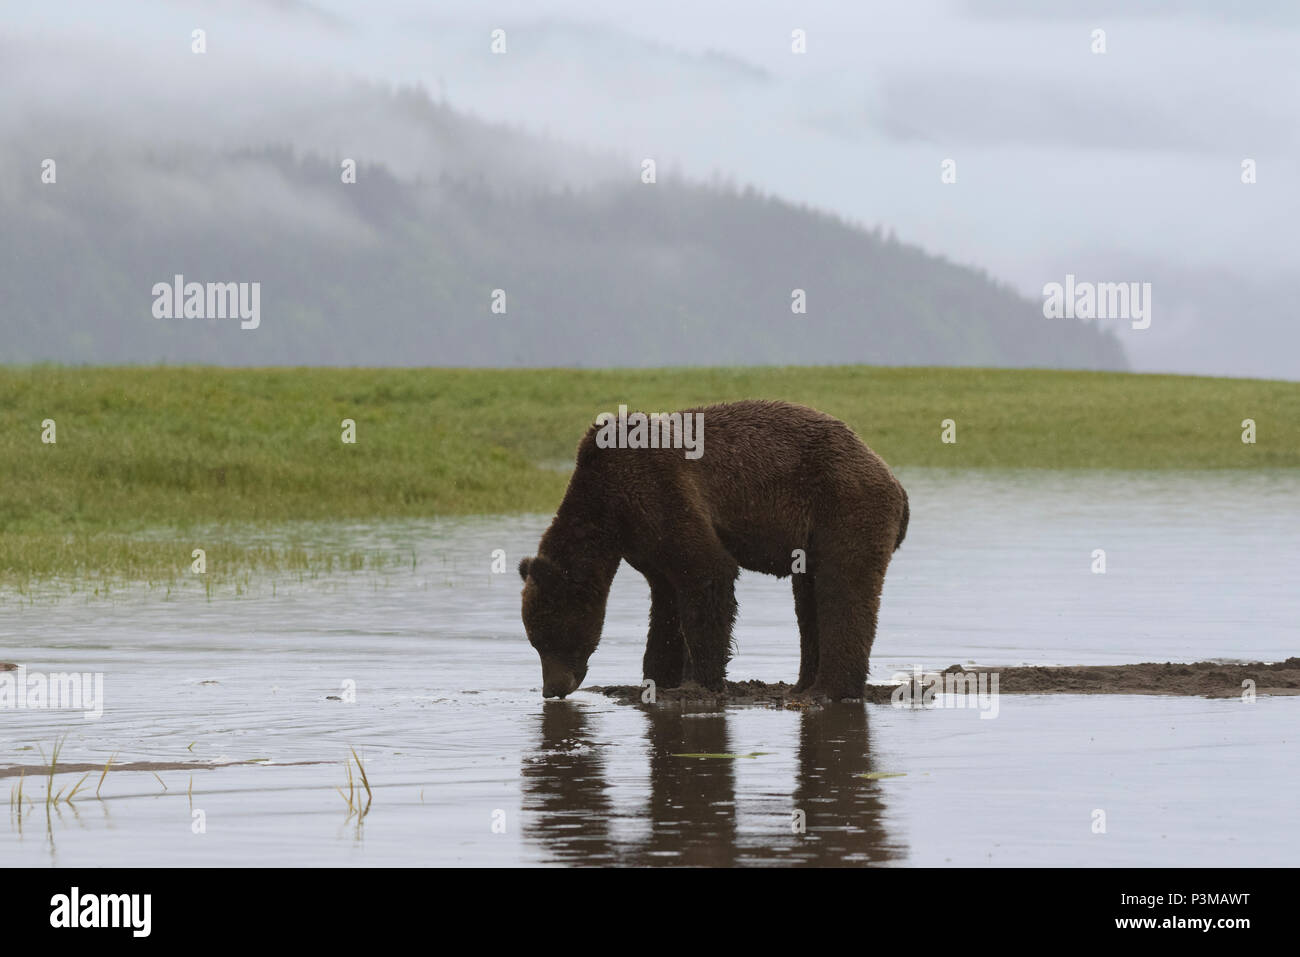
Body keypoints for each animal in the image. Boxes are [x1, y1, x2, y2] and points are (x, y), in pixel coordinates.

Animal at [514, 400, 904, 696]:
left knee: (842, 586)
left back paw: (830, 689)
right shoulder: (645, 543)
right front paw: (657, 677)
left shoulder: (661, 490)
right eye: (535, 641)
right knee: (807, 598)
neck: (609, 510)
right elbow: (666, 603)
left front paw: (700, 682)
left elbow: (707, 573)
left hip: (843, 504)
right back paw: (804, 684)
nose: (552, 689)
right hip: (811, 538)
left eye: (551, 638)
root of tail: (892, 478)